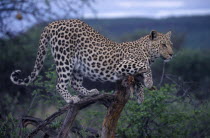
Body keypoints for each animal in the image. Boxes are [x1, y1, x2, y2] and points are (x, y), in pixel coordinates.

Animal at [9, 19, 173, 103]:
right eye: (163, 45)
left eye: (171, 44)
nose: (172, 54)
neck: (148, 53)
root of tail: (54, 23)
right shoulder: (122, 65)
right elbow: (145, 66)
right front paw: (149, 83)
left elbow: (139, 80)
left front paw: (140, 96)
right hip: (64, 59)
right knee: (60, 83)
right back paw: (71, 99)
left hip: (78, 65)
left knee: (75, 83)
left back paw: (90, 92)